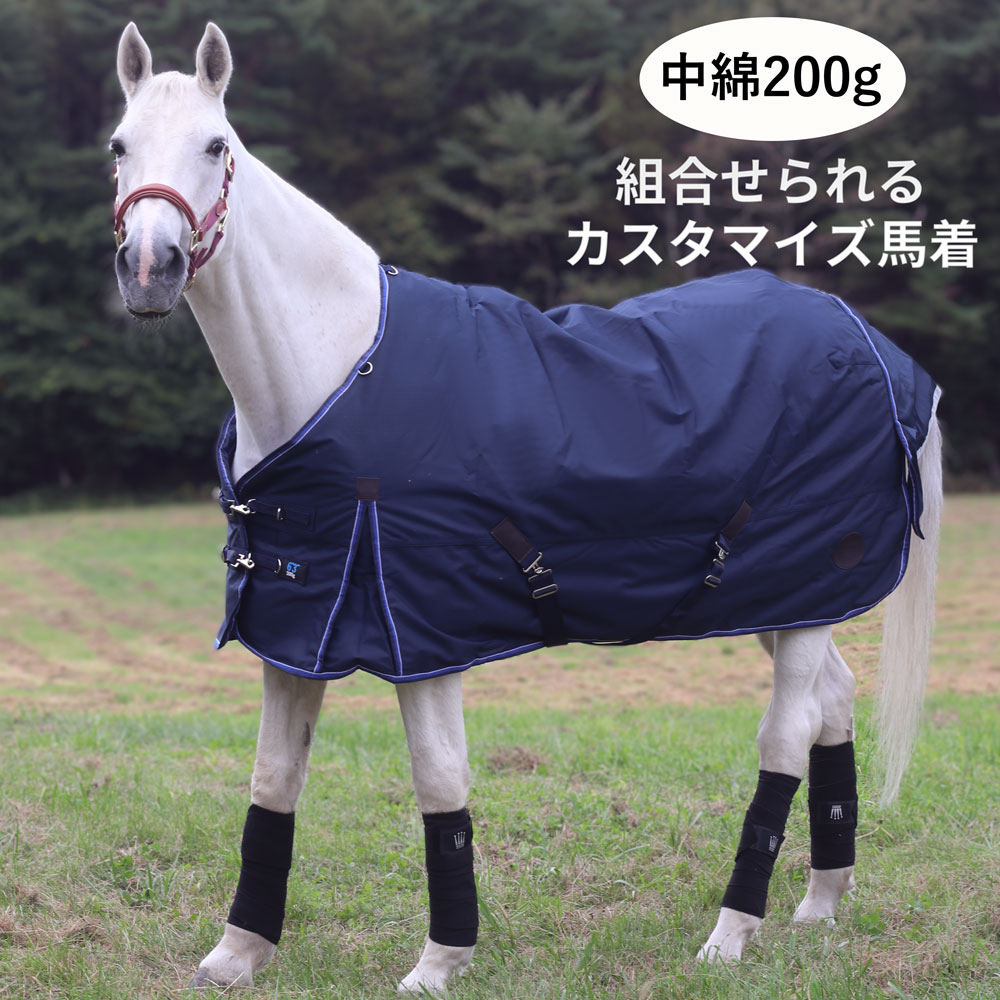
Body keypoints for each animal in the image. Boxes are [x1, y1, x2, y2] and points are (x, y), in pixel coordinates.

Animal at [109, 22, 942, 993]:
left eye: (216, 146)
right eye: (120, 147)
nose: (149, 267)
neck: (337, 369)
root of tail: (870, 344)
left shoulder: (420, 636)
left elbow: (440, 783)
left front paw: (441, 960)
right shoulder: (295, 621)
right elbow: (273, 781)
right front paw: (237, 954)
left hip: (802, 597)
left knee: (785, 737)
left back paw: (732, 934)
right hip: (779, 598)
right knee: (834, 704)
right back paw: (819, 904)